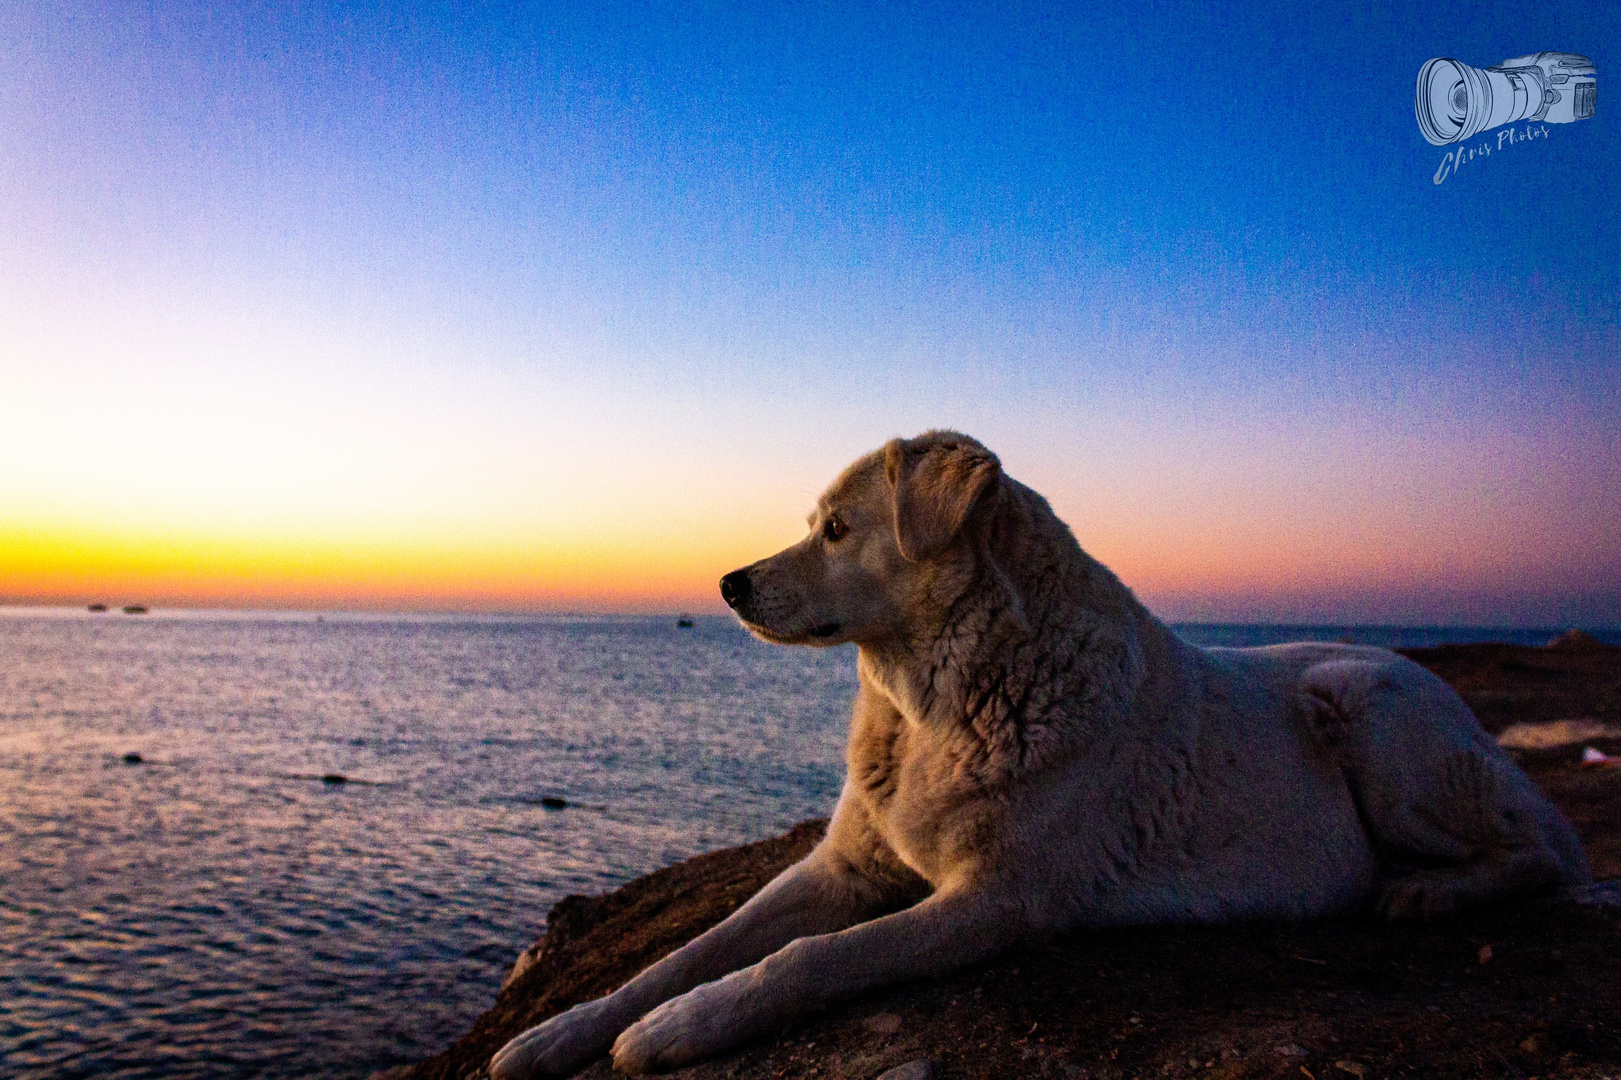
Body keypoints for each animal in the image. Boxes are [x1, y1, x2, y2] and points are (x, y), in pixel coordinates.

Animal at [489, 431, 1582, 1076]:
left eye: (837, 529)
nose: (728, 584)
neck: (933, 704)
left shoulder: (998, 902)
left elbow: (807, 960)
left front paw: (674, 1031)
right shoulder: (843, 868)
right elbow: (690, 949)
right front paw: (557, 1034)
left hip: (1367, 707)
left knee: (1547, 849)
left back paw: (1428, 891)